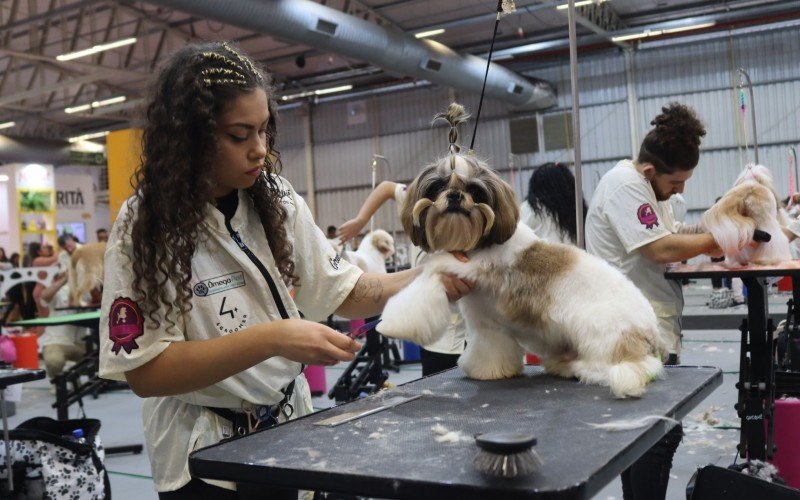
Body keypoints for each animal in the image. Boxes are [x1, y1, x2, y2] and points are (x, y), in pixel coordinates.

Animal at [378, 104, 664, 398]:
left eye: (475, 190)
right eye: (437, 186)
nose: (454, 196)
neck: (476, 245)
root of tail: (650, 334)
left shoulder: (475, 267)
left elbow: (433, 266)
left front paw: (393, 322)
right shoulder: (486, 323)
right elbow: (489, 347)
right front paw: (487, 370)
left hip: (600, 335)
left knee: (624, 367)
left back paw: (582, 368)